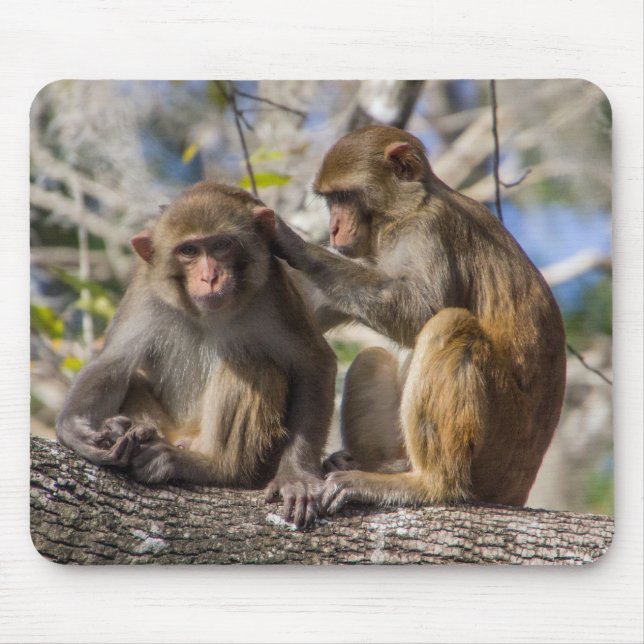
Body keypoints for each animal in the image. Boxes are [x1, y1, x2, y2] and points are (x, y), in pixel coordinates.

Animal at [56, 182, 337, 528]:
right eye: (188, 251)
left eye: (221, 245)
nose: (210, 277)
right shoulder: (146, 291)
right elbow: (115, 363)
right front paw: (77, 429)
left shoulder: (274, 292)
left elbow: (313, 364)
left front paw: (296, 476)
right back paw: (132, 433)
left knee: (253, 367)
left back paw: (210, 465)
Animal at [272, 125, 566, 514]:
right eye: (330, 200)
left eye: (345, 197)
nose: (333, 228)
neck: (407, 208)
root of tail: (522, 486)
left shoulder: (428, 231)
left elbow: (423, 311)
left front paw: (294, 244)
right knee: (373, 357)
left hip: (501, 448)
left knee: (450, 326)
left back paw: (428, 483)